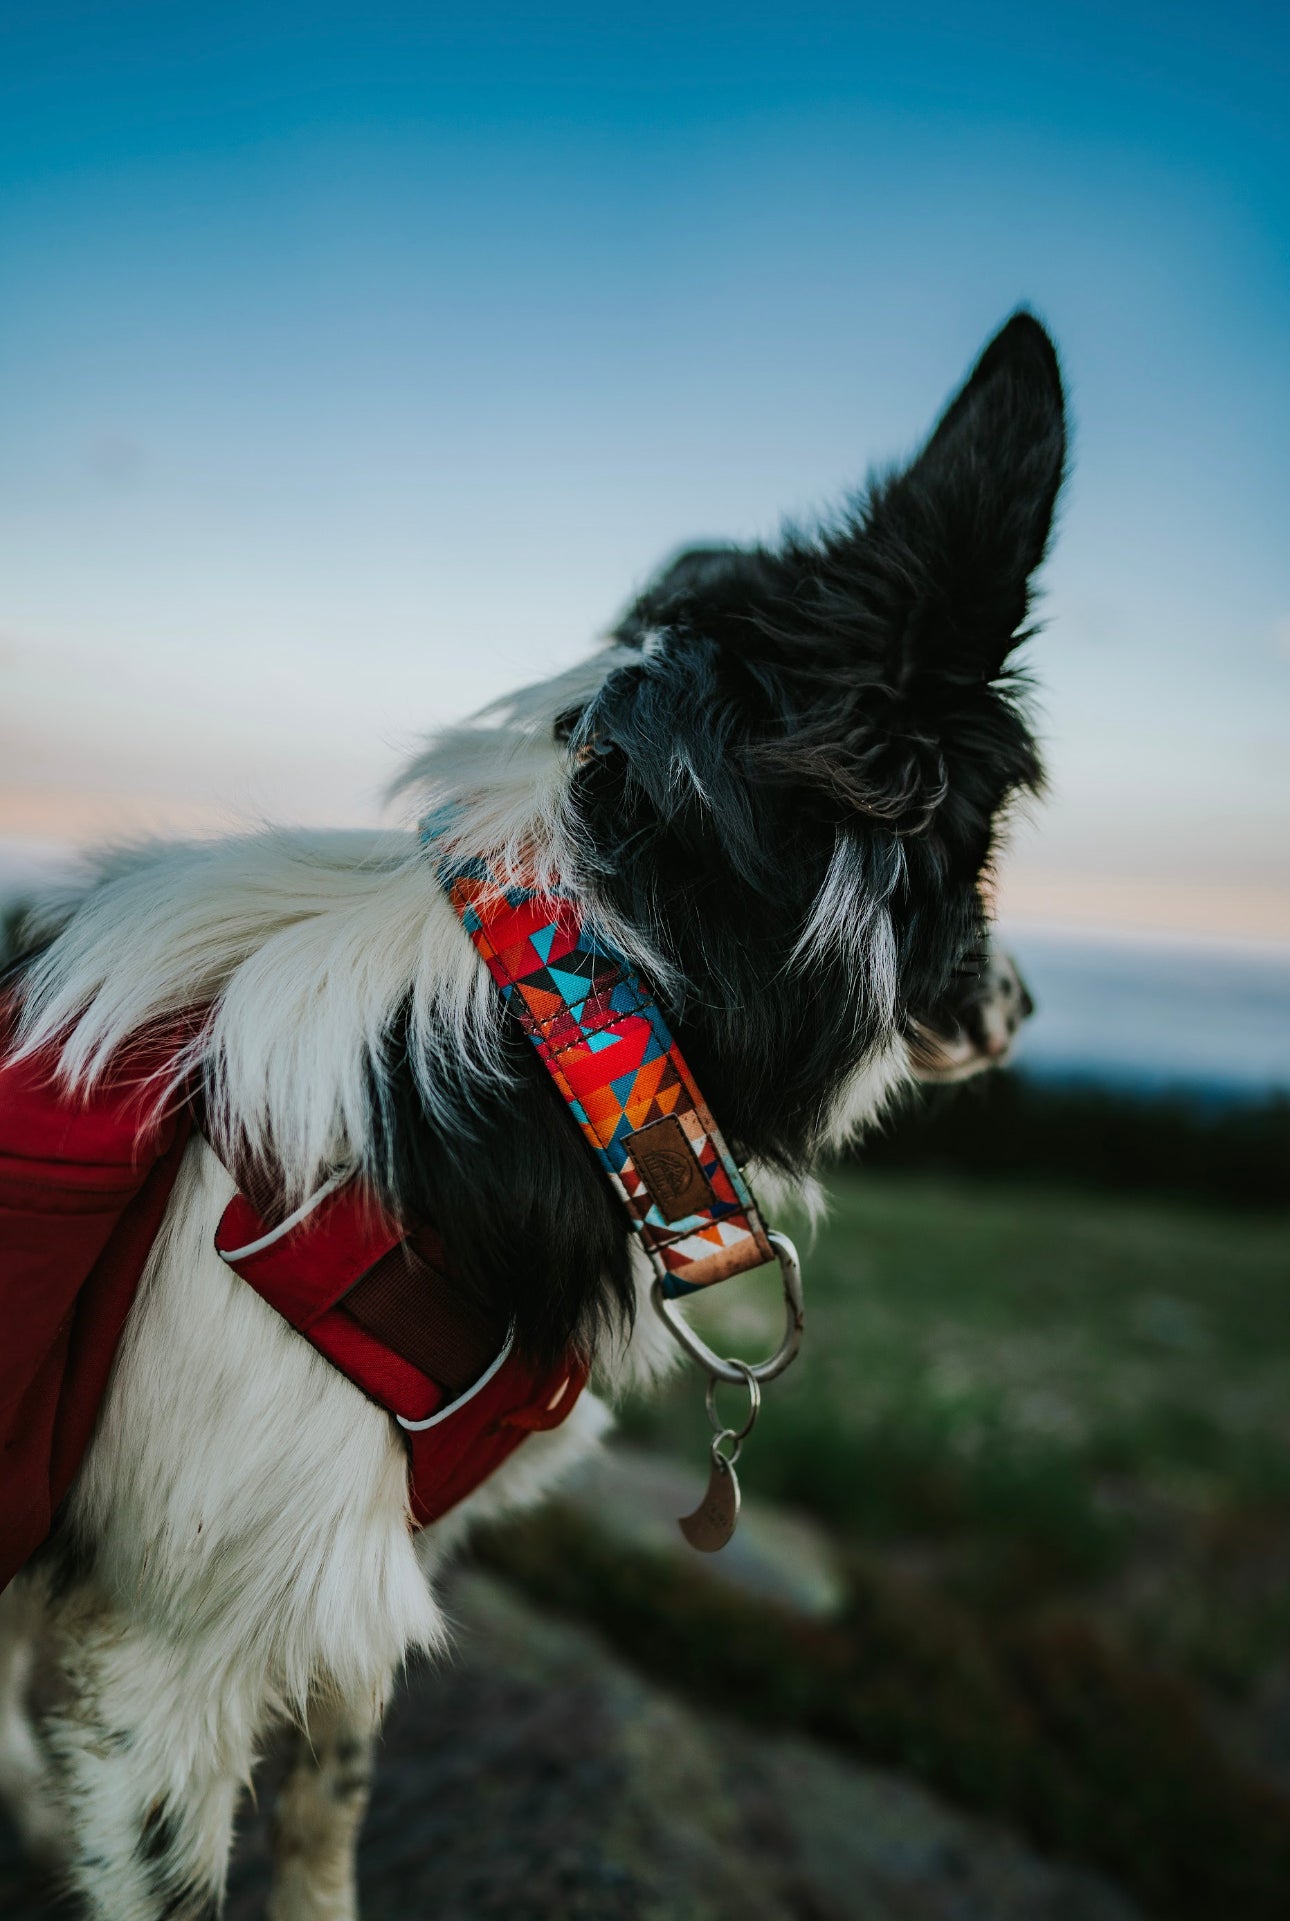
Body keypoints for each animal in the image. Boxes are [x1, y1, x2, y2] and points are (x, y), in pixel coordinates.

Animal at [0, 315, 1059, 1921]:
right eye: (988, 850)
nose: (1027, 1004)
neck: (571, 1020)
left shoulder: (345, 1575)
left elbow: (328, 1803)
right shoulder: (169, 1670)